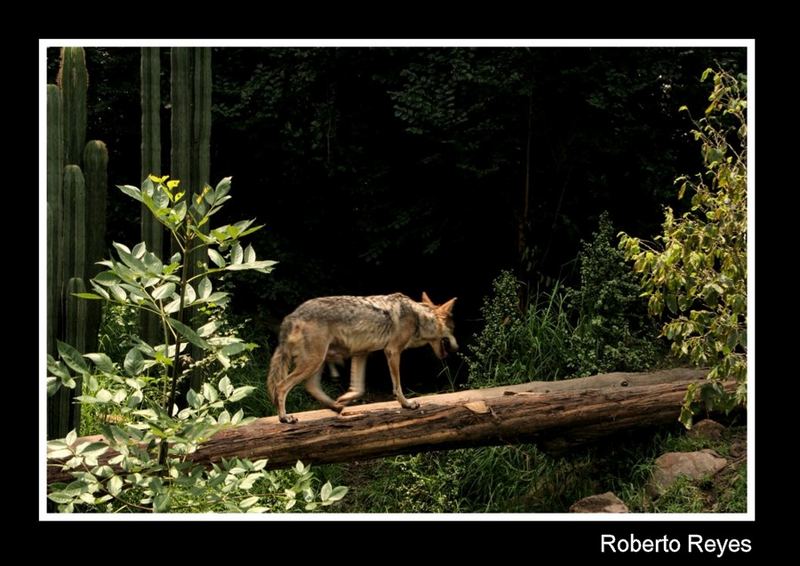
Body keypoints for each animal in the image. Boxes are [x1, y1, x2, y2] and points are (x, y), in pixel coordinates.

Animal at [268, 296, 456, 424]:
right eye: (453, 329)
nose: (457, 348)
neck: (418, 316)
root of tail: (292, 316)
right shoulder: (392, 351)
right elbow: (397, 386)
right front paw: (407, 404)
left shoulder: (361, 353)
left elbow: (358, 389)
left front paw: (344, 399)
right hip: (313, 362)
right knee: (281, 386)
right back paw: (285, 418)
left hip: (318, 362)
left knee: (311, 386)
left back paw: (336, 406)